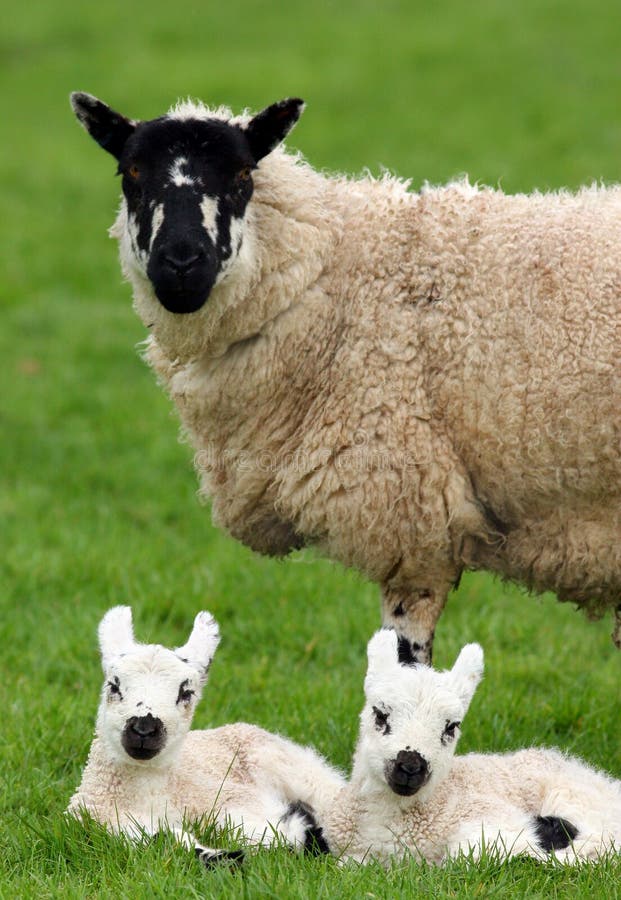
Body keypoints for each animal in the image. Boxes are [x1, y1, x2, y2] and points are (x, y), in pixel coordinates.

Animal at [70, 93, 620, 668]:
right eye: (131, 171)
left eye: (242, 173)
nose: (181, 262)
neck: (334, 277)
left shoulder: (413, 516)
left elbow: (405, 668)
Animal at [70, 604, 346, 864]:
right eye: (113, 686)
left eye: (186, 693)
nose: (143, 729)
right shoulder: (101, 823)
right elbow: (168, 842)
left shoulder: (233, 799)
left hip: (291, 765)